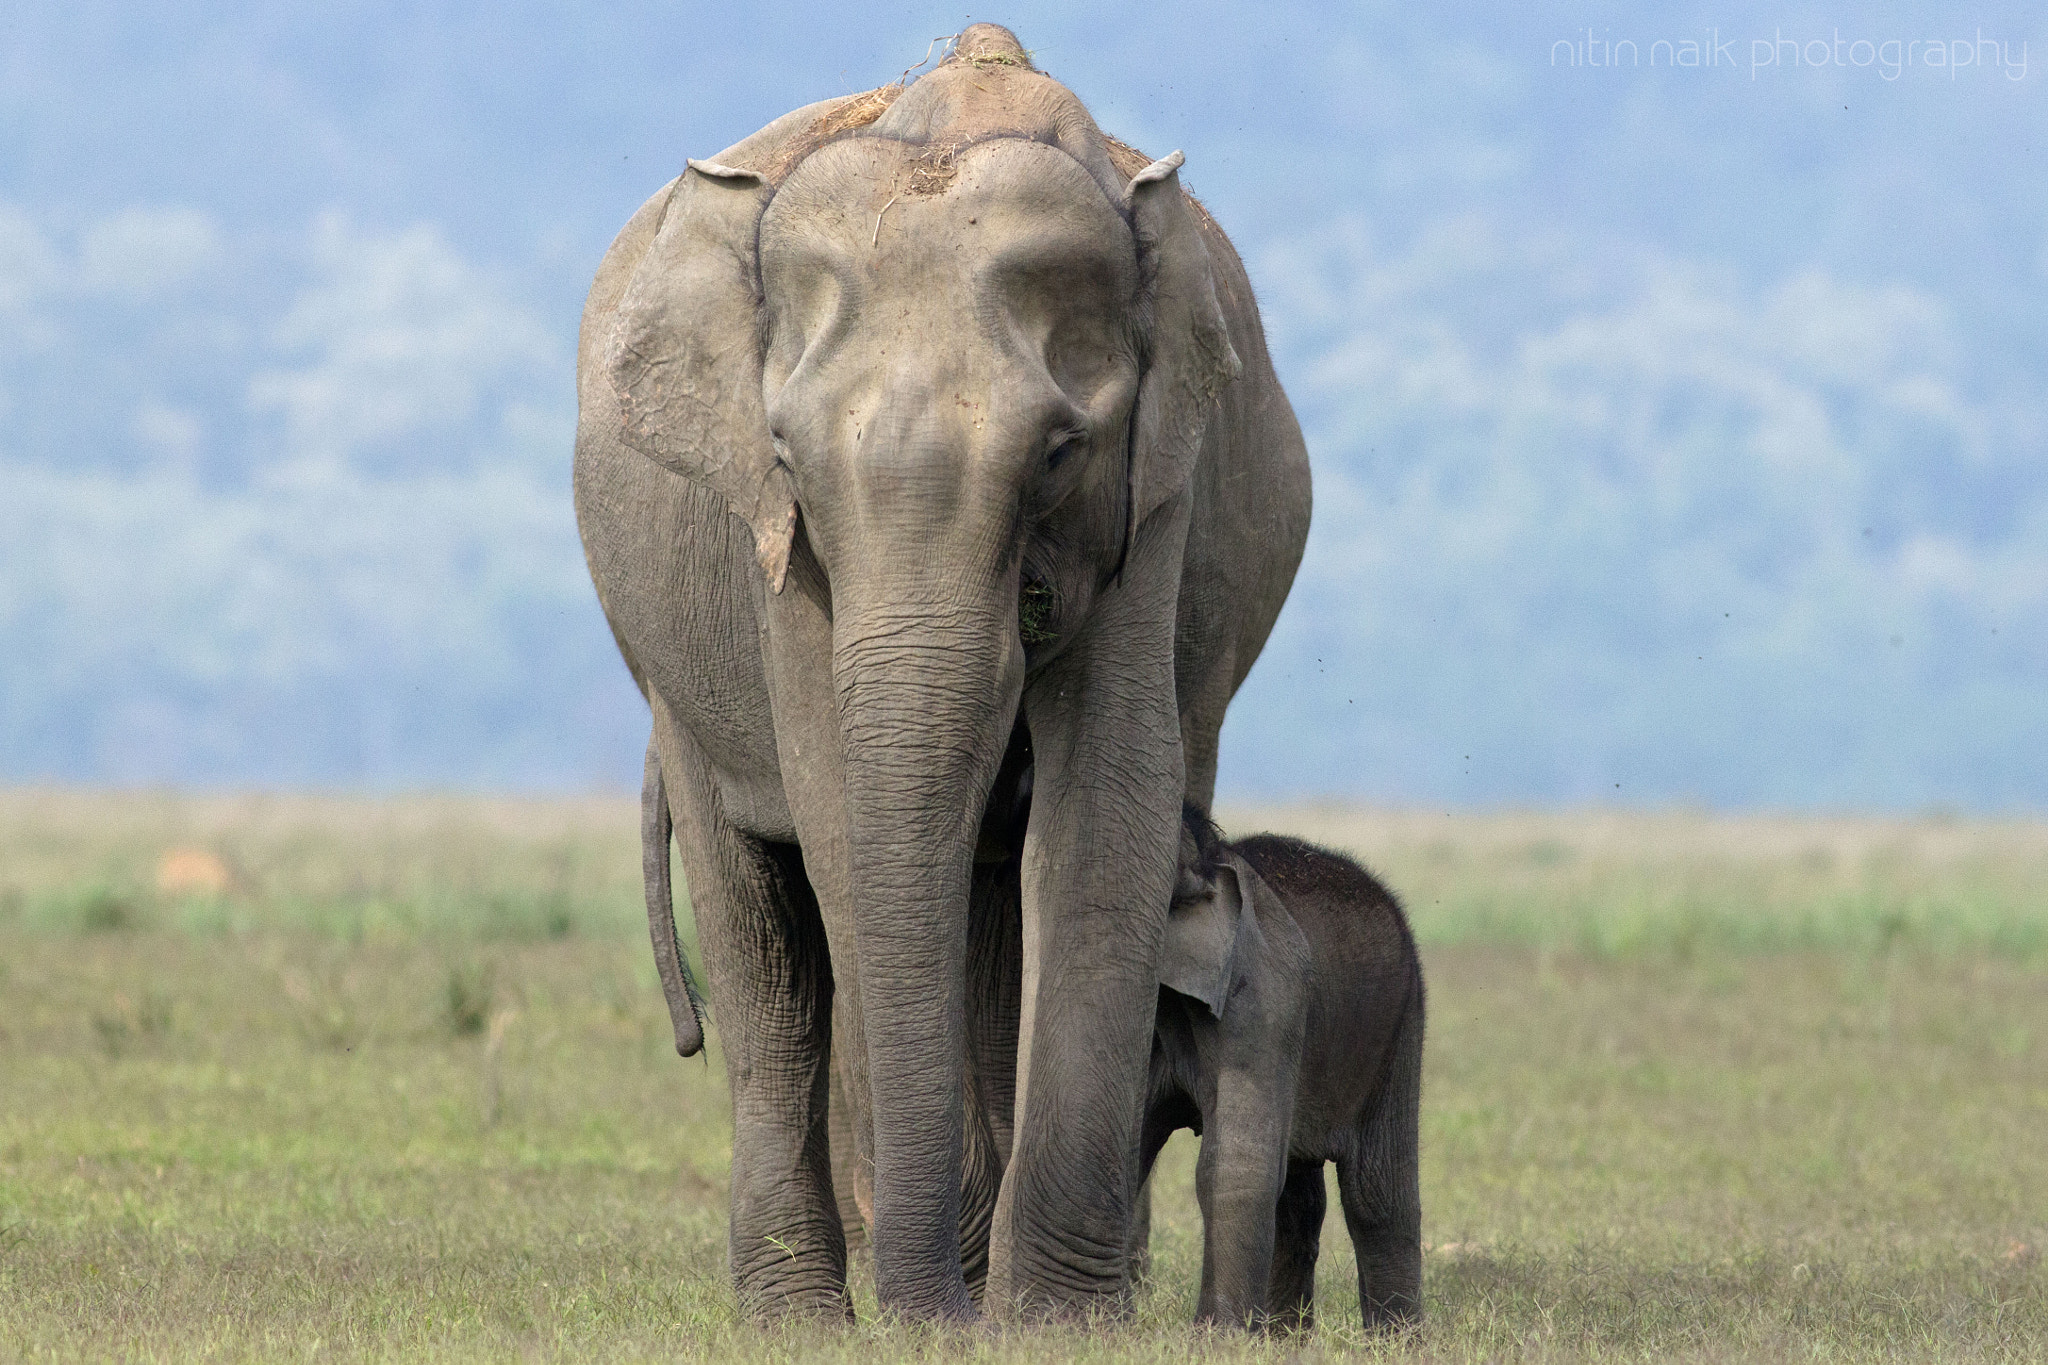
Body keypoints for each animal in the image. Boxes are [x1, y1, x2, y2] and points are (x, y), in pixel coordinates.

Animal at [577, 21, 1310, 1326]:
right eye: (783, 455)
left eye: (1061, 452)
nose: (931, 1315)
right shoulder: (782, 558)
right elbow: (835, 817)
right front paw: (957, 1302)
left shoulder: (1154, 499)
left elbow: (1105, 809)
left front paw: (1055, 1318)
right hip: (671, 675)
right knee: (764, 942)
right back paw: (805, 1312)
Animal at [1146, 818, 1433, 1326]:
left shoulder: (1260, 1000)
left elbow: (1237, 1164)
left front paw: (1214, 1336)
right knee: (1299, 1198)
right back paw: (1280, 1336)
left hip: (1400, 1021)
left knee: (1376, 1195)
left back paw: (1399, 1339)